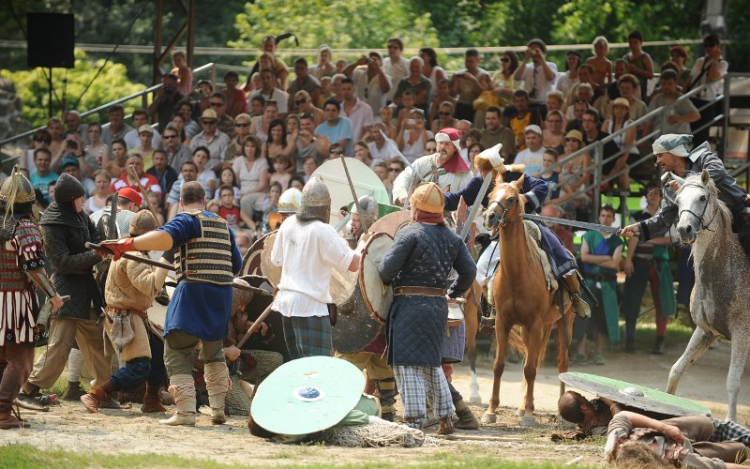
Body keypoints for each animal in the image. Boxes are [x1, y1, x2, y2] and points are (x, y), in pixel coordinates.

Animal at [476, 173, 576, 424]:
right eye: (490, 196)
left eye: (512, 198)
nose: (490, 216)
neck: (518, 274)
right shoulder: (503, 322)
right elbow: (499, 366)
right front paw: (491, 411)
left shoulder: (535, 323)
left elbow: (531, 369)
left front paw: (530, 415)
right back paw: (522, 406)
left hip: (564, 322)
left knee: (562, 364)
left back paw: (559, 411)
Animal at [668, 169, 750, 420]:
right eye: (678, 201)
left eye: (702, 198)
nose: (684, 229)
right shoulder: (707, 331)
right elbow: (676, 369)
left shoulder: (742, 333)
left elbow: (733, 382)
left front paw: (732, 422)